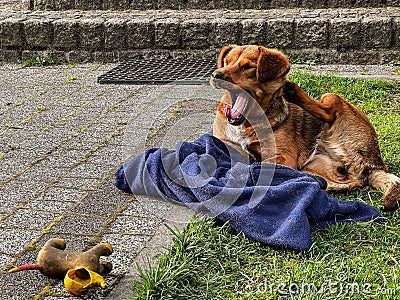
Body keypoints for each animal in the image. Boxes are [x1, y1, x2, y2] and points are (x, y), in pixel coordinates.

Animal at [209, 44, 400, 210]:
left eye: (248, 67)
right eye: (226, 62)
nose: (216, 75)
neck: (247, 124)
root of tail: (376, 165)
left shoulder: (285, 156)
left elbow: (263, 164)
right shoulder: (229, 144)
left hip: (331, 97)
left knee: (328, 112)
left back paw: (293, 91)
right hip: (318, 167)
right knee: (338, 182)